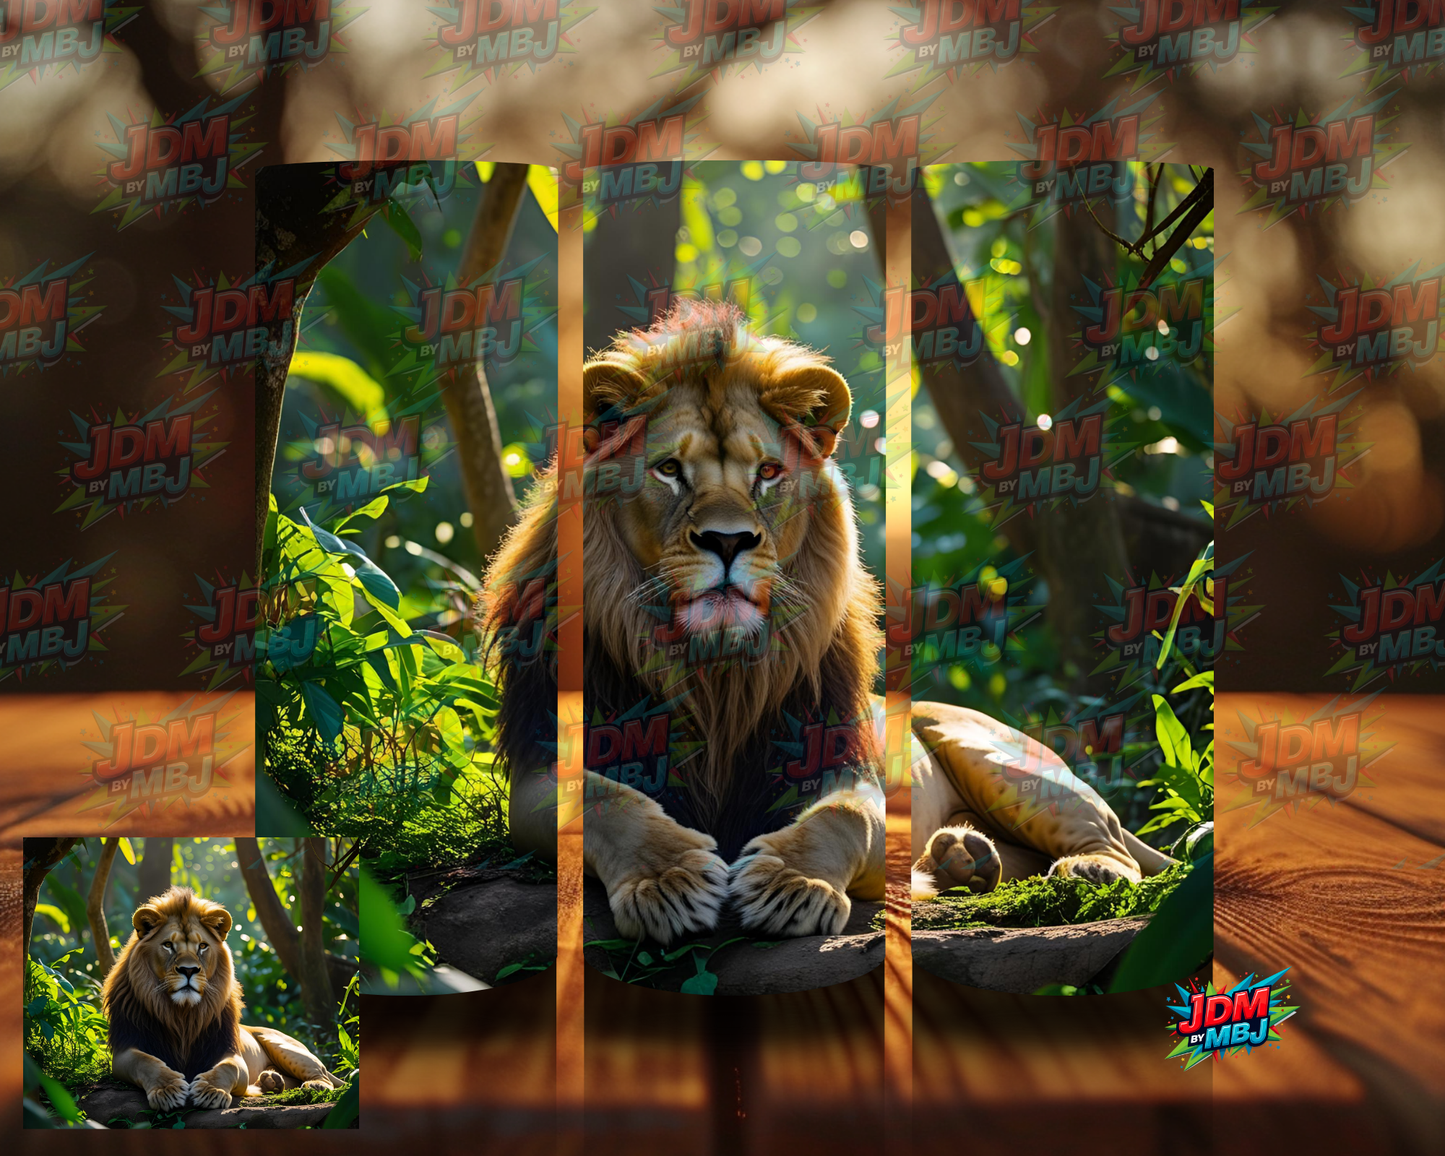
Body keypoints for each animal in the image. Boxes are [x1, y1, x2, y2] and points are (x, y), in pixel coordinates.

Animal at [101, 887, 346, 1112]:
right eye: (168, 945)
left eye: (202, 946)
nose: (188, 970)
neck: (182, 1014)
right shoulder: (126, 1048)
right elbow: (147, 1062)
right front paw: (167, 1089)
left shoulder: (229, 1051)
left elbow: (228, 1068)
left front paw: (210, 1091)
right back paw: (271, 1081)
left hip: (284, 1046)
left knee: (324, 1076)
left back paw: (312, 1085)